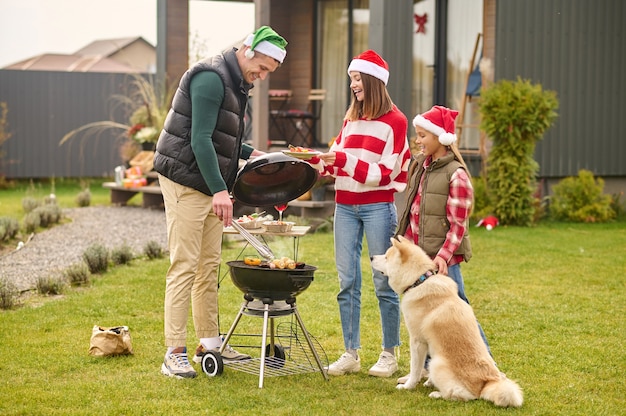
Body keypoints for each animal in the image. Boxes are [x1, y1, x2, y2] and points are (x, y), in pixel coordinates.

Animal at [370, 236, 520, 408]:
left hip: (437, 363)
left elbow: (415, 369)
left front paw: (408, 386)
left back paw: (437, 394)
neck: (419, 281)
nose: (371, 257)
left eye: (386, 257)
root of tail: (485, 384)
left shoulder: (417, 341)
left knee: (462, 396)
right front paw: (428, 381)